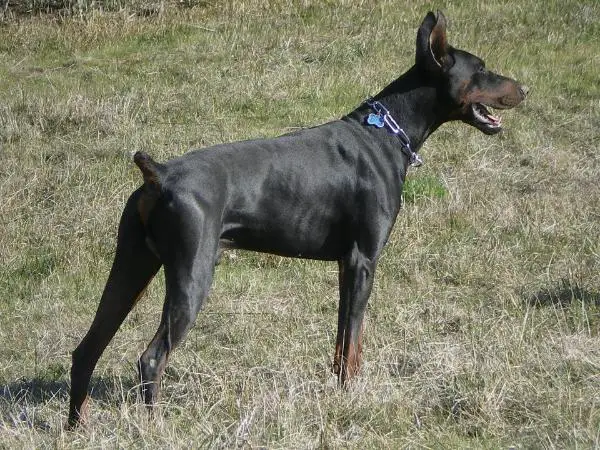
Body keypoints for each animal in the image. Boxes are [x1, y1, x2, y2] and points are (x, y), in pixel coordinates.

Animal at [68, 9, 524, 426]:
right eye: (481, 69)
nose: (524, 87)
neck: (386, 133)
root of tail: (159, 175)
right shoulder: (362, 260)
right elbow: (352, 343)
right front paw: (351, 398)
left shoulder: (346, 265)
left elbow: (344, 344)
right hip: (191, 274)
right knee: (151, 358)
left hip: (131, 267)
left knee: (86, 349)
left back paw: (78, 426)